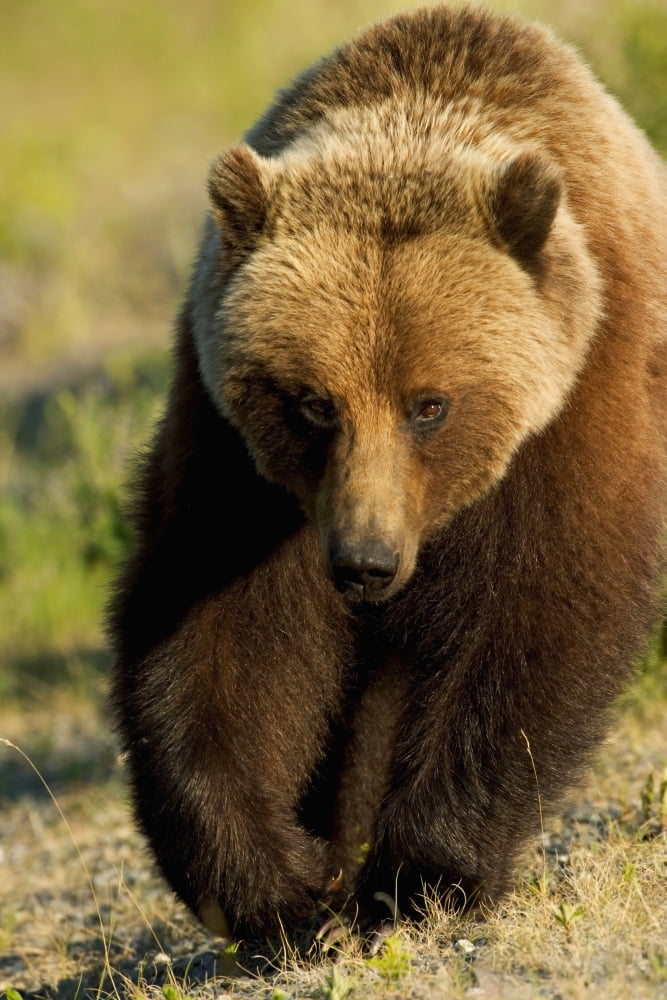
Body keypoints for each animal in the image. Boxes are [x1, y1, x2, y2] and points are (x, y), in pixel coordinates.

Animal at [109, 4, 667, 942]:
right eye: (312, 402)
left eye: (429, 404)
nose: (365, 563)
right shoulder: (240, 461)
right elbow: (216, 636)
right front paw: (279, 888)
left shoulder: (576, 404)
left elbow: (528, 624)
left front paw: (420, 875)